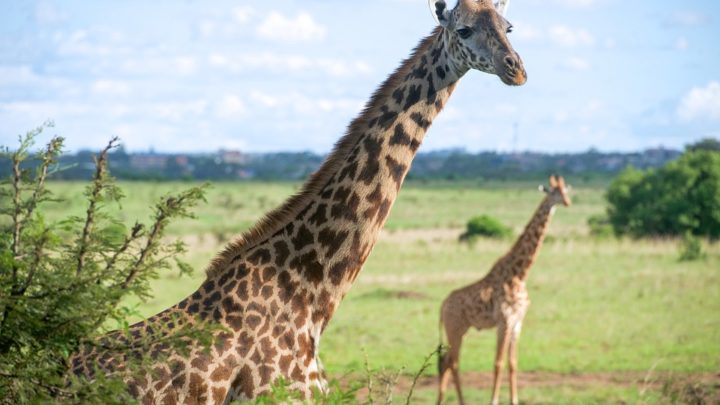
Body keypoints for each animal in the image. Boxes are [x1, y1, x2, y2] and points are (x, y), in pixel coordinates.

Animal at [436, 175, 572, 404]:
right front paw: (494, 400)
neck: (519, 274)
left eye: (566, 191)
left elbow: (513, 363)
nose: (567, 202)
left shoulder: (517, 322)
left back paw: (442, 399)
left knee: (446, 362)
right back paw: (461, 400)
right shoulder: (504, 321)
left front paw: (514, 400)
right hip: (454, 329)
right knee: (453, 362)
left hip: (459, 330)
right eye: (554, 192)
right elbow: (498, 363)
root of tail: (442, 305)